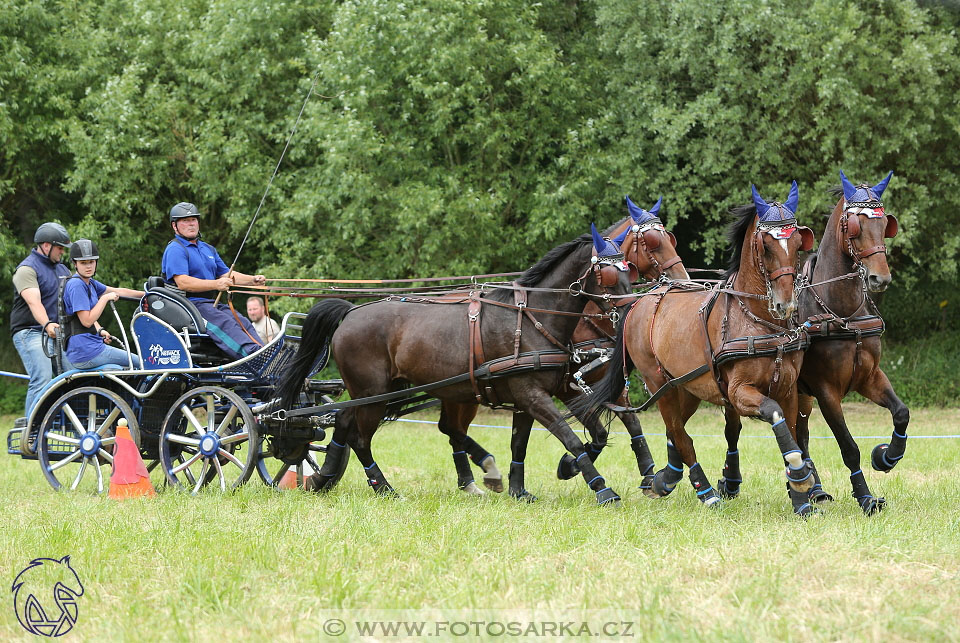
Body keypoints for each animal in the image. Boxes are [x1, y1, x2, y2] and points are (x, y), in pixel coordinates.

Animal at [274, 225, 636, 504]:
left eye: (628, 268)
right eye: (607, 272)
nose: (629, 311)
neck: (533, 318)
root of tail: (349, 312)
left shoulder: (548, 391)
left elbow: (581, 436)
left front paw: (541, 480)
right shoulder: (531, 394)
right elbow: (570, 437)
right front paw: (602, 489)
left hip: (386, 391)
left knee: (345, 423)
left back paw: (323, 479)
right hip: (374, 393)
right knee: (360, 437)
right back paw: (384, 489)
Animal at [572, 182, 820, 520]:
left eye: (796, 242)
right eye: (766, 246)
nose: (785, 304)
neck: (758, 320)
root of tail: (640, 302)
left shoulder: (789, 389)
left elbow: (792, 430)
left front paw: (801, 497)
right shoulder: (740, 393)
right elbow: (774, 414)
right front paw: (798, 474)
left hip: (687, 386)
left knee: (675, 432)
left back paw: (666, 478)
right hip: (658, 383)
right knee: (679, 433)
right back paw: (705, 492)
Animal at [720, 169, 908, 516]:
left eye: (885, 225)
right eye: (856, 227)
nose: (880, 278)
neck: (842, 311)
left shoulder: (869, 377)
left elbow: (901, 412)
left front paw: (886, 457)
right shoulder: (826, 390)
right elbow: (848, 447)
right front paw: (865, 496)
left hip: (799, 393)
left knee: (802, 434)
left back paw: (814, 489)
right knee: (734, 431)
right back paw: (731, 481)